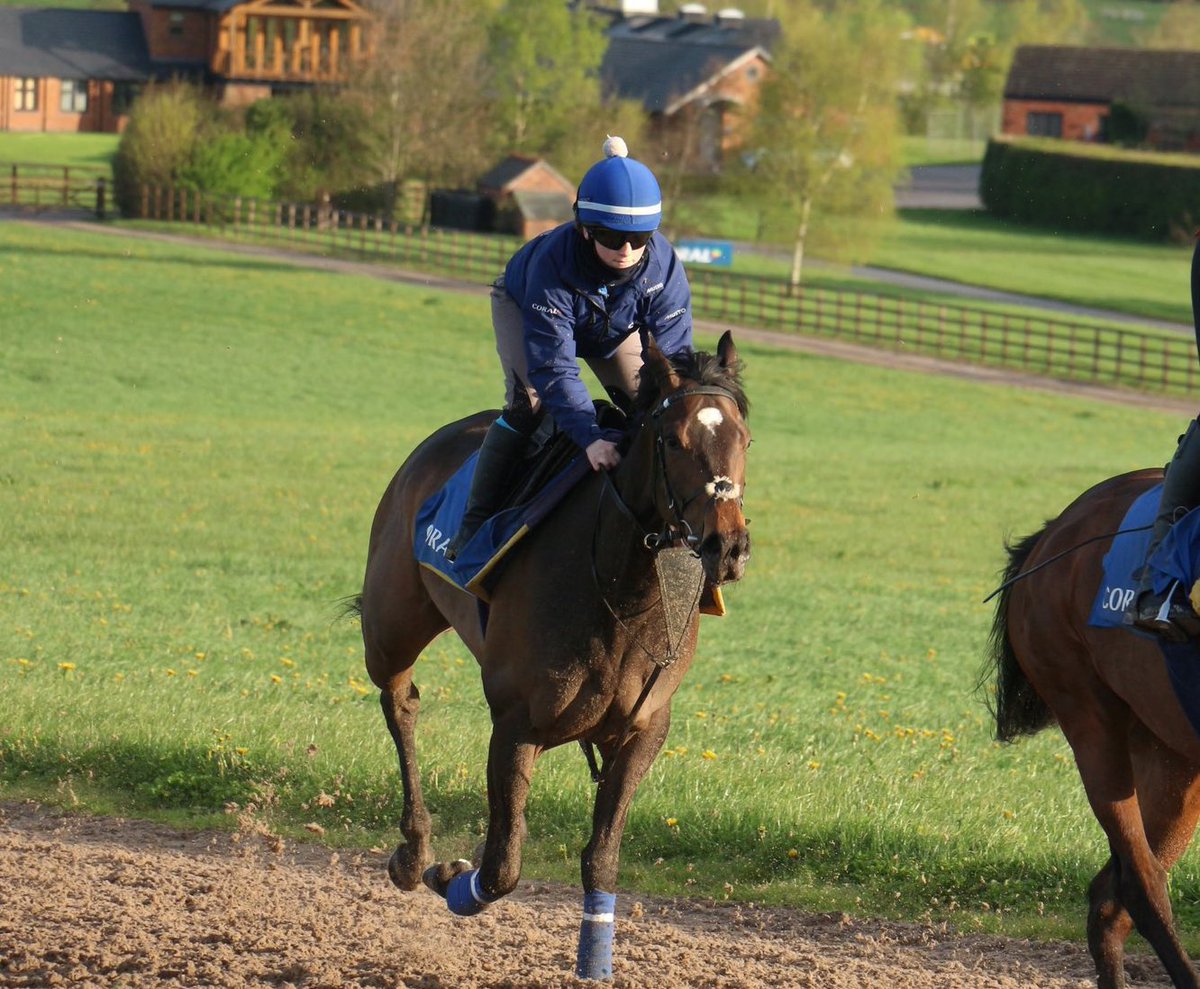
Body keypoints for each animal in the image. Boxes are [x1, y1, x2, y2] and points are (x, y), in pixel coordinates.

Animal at [355, 331, 748, 979]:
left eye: (744, 439)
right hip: (390, 623)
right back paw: (414, 853)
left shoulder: (643, 728)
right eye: (673, 439)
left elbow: (602, 856)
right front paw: (450, 875)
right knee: (400, 702)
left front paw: (595, 961)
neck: (620, 582)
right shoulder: (517, 723)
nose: (728, 545)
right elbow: (501, 865)